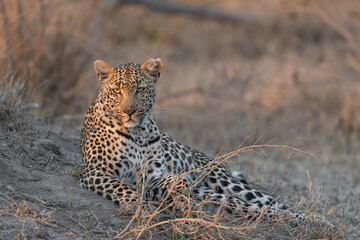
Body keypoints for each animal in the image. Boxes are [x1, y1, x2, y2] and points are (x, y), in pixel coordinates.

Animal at [80, 57, 328, 225]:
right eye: (116, 91)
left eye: (140, 89)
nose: (129, 111)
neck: (137, 133)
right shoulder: (95, 172)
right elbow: (123, 188)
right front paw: (140, 208)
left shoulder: (155, 176)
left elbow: (174, 182)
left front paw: (177, 198)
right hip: (217, 194)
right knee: (250, 206)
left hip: (224, 181)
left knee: (273, 202)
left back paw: (315, 219)